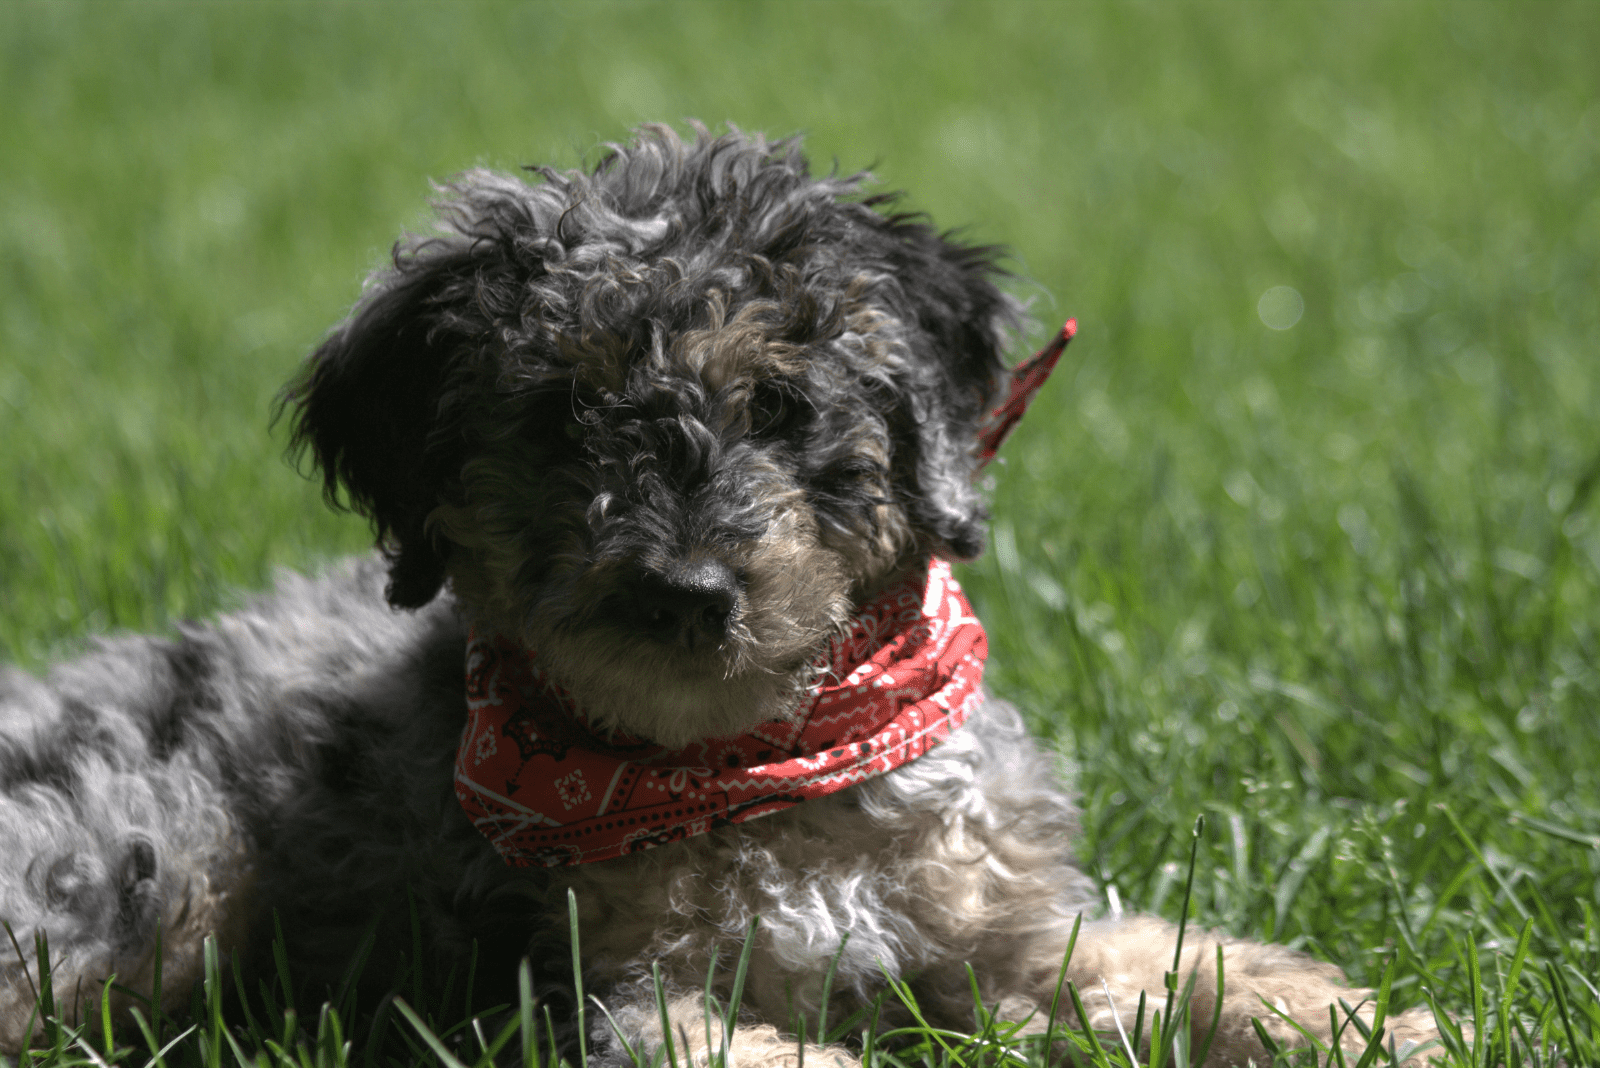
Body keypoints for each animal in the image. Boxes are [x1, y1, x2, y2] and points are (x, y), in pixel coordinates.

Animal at [0, 127, 1446, 1068]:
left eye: (782, 406)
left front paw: (1365, 1023)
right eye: (556, 416)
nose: (685, 591)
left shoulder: (1002, 926)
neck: (756, 772)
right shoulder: (605, 997)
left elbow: (1168, 959)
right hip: (139, 860)